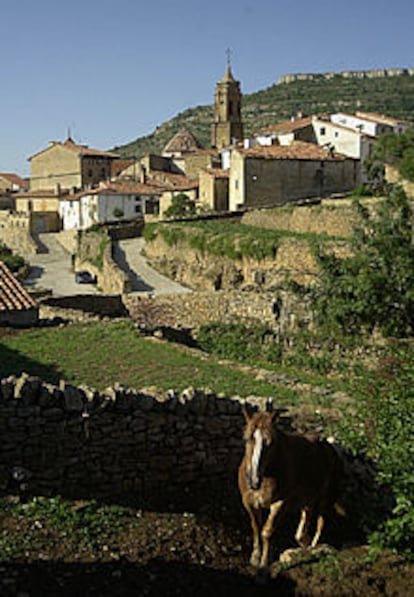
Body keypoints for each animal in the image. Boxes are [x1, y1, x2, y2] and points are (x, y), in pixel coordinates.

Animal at [238, 402, 344, 576]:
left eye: (270, 443)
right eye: (247, 439)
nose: (254, 481)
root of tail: (331, 448)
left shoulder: (280, 503)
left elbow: (267, 531)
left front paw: (264, 565)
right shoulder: (249, 502)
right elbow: (256, 527)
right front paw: (255, 557)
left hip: (325, 499)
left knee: (320, 523)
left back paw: (314, 548)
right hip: (308, 499)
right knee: (305, 521)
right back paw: (305, 542)